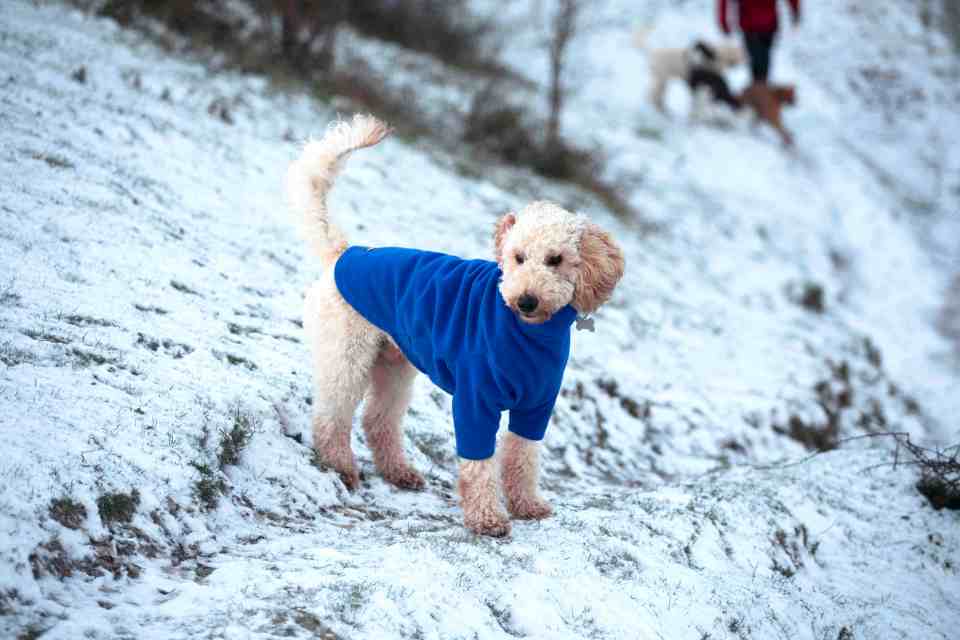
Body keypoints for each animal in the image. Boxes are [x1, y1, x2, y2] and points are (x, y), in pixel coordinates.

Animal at [286, 115, 624, 536]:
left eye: (556, 259)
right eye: (518, 257)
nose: (526, 300)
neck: (528, 332)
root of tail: (343, 254)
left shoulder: (536, 405)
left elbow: (523, 456)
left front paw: (527, 505)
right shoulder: (475, 399)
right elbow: (478, 463)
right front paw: (487, 518)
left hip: (393, 365)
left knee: (378, 419)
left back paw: (399, 473)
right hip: (347, 356)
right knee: (331, 416)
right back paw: (341, 467)